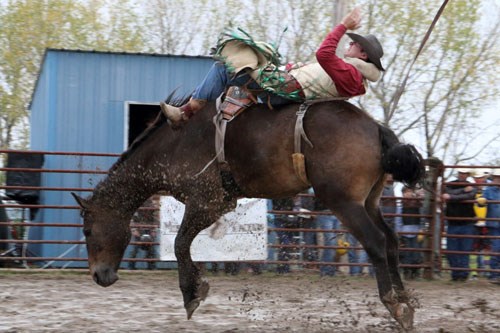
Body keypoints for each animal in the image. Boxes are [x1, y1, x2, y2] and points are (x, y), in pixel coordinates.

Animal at [71, 96, 422, 330]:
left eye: (87, 230)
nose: (98, 276)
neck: (170, 145)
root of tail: (374, 127)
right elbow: (185, 244)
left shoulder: (207, 201)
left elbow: (180, 244)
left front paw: (192, 295)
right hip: (369, 201)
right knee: (392, 242)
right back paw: (406, 302)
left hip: (344, 201)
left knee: (376, 243)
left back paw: (396, 306)